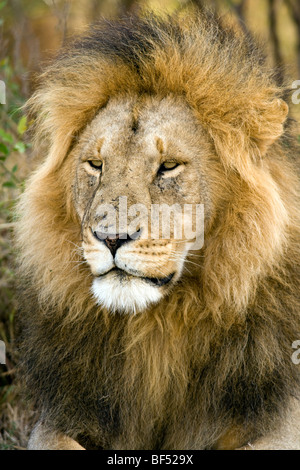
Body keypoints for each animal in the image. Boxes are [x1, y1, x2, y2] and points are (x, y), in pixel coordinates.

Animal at [15, 12, 300, 450]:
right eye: (95, 164)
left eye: (168, 167)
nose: (112, 238)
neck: (159, 329)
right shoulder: (57, 420)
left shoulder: (280, 420)